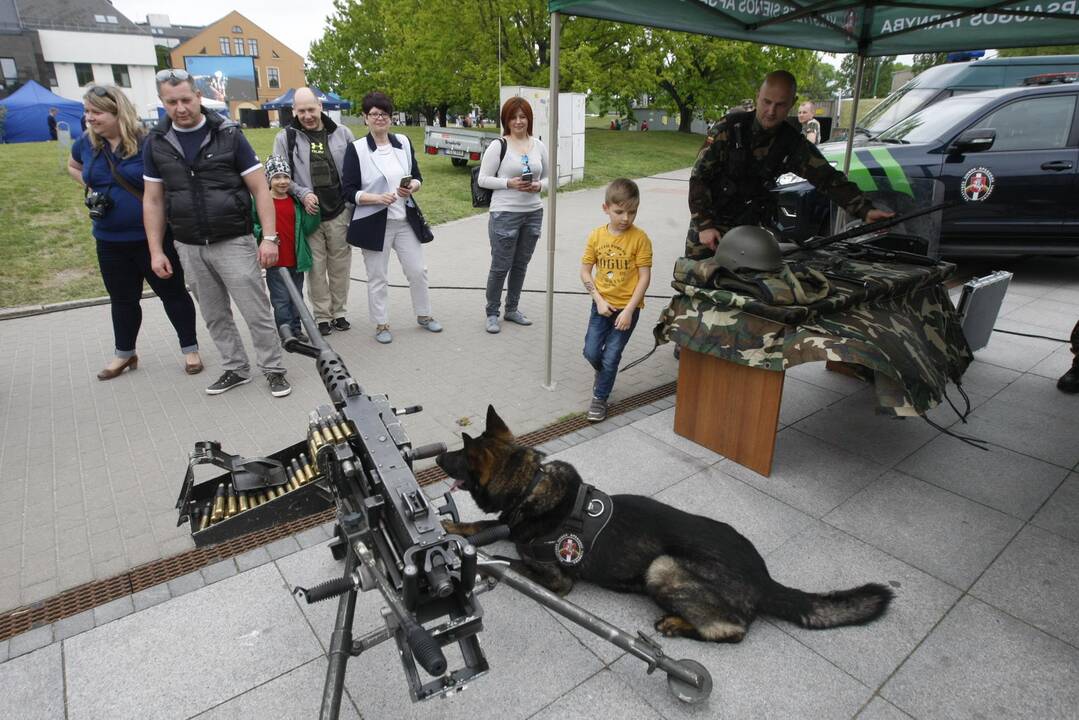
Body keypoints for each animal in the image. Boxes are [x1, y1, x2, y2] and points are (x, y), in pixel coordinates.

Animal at [438, 408, 893, 643]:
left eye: (458, 457)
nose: (438, 456)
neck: (531, 484)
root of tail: (766, 581)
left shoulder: (557, 580)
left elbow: (509, 560)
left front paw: (484, 557)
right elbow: (480, 523)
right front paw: (454, 529)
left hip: (663, 567)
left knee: (732, 630)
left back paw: (677, 624)